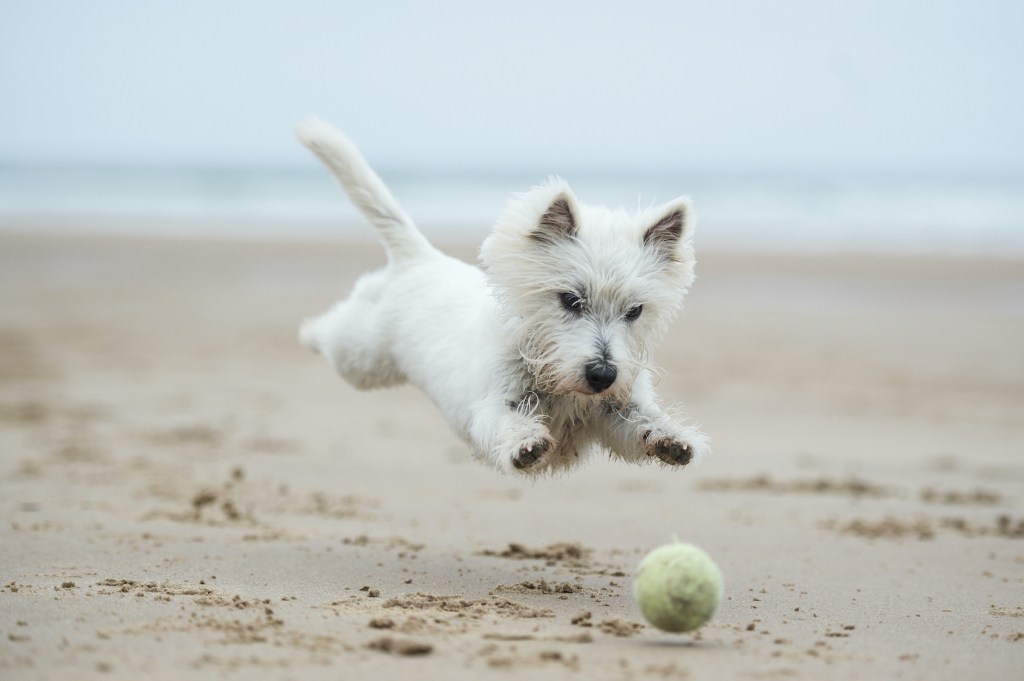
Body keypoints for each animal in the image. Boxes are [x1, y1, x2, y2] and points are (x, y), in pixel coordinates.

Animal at [299, 120, 708, 473]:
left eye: (634, 311)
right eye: (570, 300)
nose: (603, 375)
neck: (554, 379)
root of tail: (421, 257)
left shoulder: (615, 410)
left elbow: (641, 422)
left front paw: (673, 439)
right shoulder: (493, 404)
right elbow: (506, 422)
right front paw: (526, 444)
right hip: (361, 357)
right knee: (333, 332)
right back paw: (308, 332)